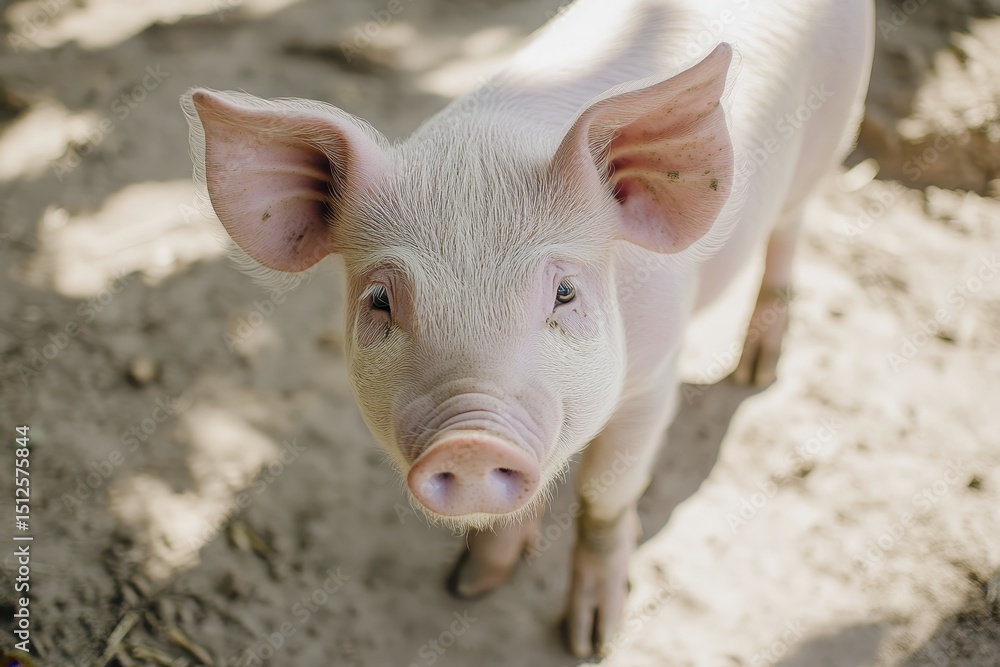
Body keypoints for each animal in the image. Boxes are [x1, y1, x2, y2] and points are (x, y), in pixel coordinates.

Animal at [181, 0, 873, 656]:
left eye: (564, 293)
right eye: (380, 301)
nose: (470, 442)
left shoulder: (655, 375)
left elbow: (602, 498)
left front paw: (591, 640)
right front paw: (470, 584)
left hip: (833, 132)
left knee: (790, 227)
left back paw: (757, 369)